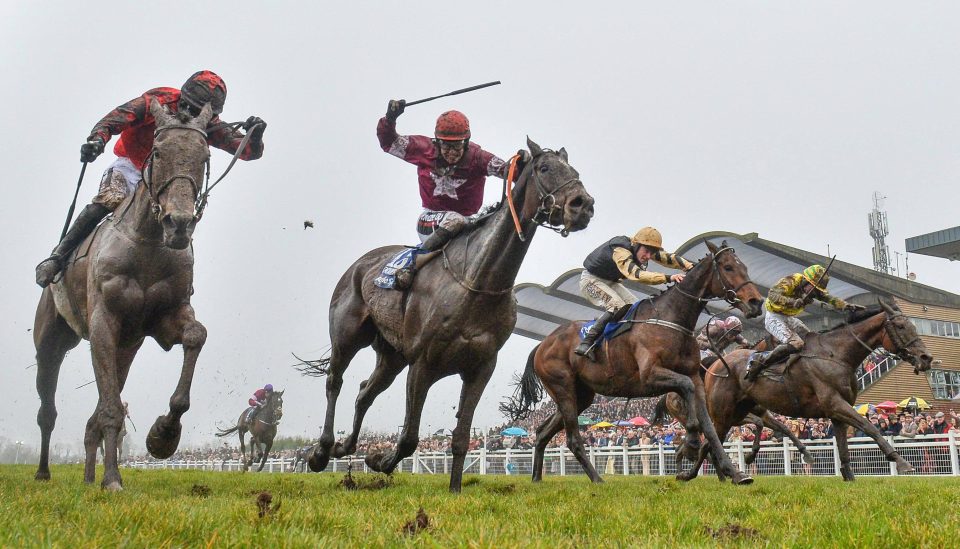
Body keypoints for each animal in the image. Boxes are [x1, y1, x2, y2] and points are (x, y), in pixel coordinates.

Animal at [34, 98, 216, 488]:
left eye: (205, 155)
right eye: (158, 152)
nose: (179, 224)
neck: (148, 241)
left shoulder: (164, 318)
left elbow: (196, 336)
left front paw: (164, 434)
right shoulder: (104, 322)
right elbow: (111, 408)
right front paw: (114, 480)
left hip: (127, 347)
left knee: (96, 411)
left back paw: (89, 477)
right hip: (51, 341)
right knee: (48, 410)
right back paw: (44, 472)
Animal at [304, 139, 596, 490]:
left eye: (574, 170)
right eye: (544, 168)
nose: (583, 205)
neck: (478, 283)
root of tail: (360, 264)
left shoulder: (480, 367)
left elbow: (459, 437)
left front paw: (454, 488)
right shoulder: (422, 364)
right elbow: (409, 438)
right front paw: (380, 460)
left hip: (391, 356)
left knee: (364, 392)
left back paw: (345, 446)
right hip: (348, 336)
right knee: (335, 381)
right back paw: (321, 450)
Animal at [510, 240, 764, 484]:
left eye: (745, 267)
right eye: (728, 267)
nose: (756, 302)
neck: (671, 319)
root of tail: (542, 344)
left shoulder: (695, 377)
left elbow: (710, 428)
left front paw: (736, 473)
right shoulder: (650, 376)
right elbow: (687, 390)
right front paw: (691, 441)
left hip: (580, 395)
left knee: (542, 432)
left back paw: (536, 478)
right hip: (563, 388)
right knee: (572, 439)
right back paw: (597, 479)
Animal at [676, 298, 928, 482]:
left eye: (913, 325)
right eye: (900, 326)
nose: (926, 358)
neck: (836, 355)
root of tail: (715, 365)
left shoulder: (836, 413)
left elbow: (844, 448)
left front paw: (849, 478)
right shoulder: (835, 404)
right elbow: (870, 427)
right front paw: (902, 462)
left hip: (737, 412)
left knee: (711, 442)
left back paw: (700, 473)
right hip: (723, 413)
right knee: (710, 442)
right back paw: (702, 474)